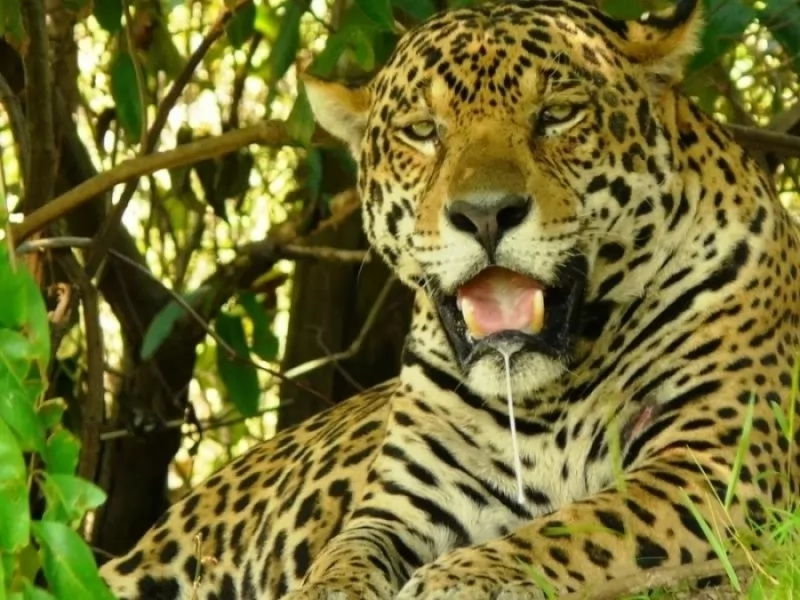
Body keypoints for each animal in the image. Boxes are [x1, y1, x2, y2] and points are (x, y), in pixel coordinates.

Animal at [100, 0, 800, 598]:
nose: (485, 214)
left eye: (557, 115)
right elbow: (345, 555)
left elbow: (577, 527)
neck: (543, 397)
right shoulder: (406, 504)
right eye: (422, 131)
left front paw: (465, 577)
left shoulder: (714, 462)